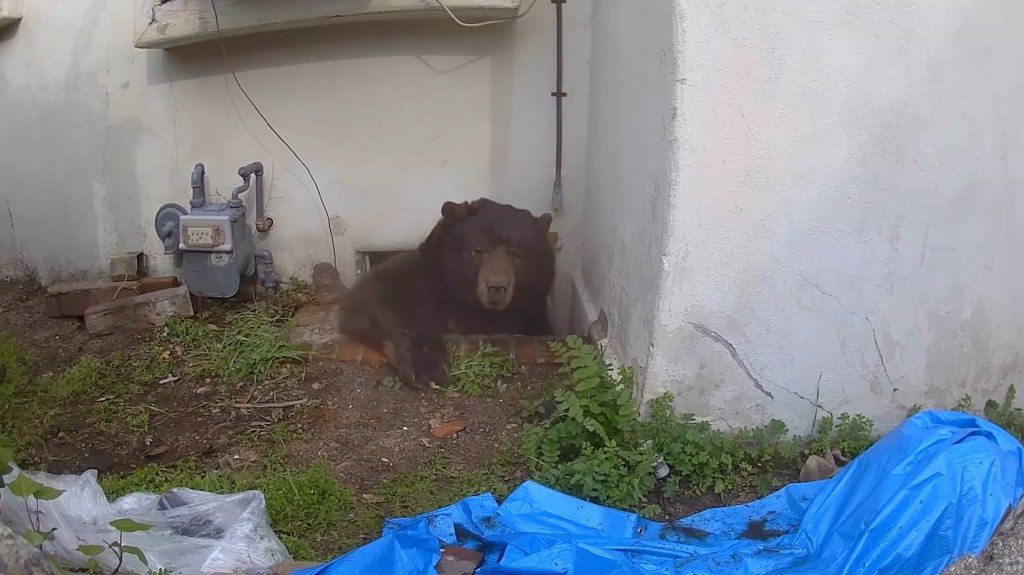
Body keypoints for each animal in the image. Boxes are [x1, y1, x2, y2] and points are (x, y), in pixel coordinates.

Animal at [336, 197, 556, 389]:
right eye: (479, 250)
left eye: (518, 254)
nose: (496, 286)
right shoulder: (416, 282)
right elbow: (366, 303)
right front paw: (426, 366)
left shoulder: (530, 316)